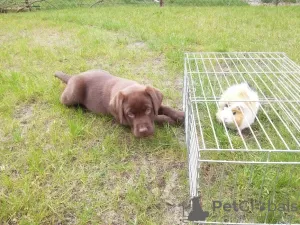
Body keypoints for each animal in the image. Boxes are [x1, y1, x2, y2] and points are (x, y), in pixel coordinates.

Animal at [54, 69, 184, 138]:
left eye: (148, 110)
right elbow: (157, 117)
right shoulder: (123, 120)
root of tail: (73, 76)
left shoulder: (155, 104)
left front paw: (180, 115)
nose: (143, 131)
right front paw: (170, 121)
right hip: (71, 95)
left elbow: (163, 107)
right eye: (130, 114)